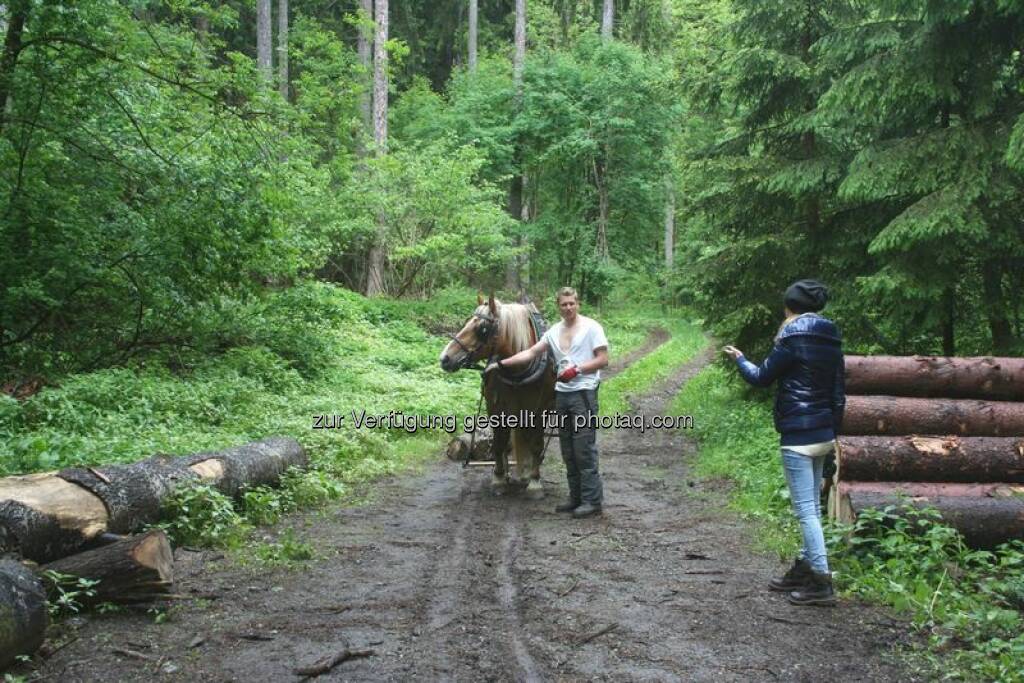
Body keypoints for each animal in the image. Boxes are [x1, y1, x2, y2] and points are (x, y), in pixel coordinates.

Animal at [438, 292, 557, 497]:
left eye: (482, 329)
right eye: (467, 322)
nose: (445, 358)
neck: (518, 367)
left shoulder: (539, 410)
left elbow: (535, 444)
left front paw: (534, 482)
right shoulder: (496, 407)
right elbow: (499, 443)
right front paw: (499, 478)